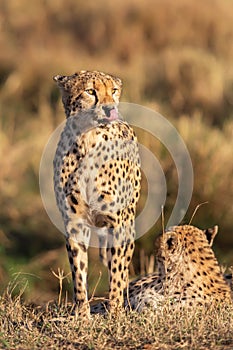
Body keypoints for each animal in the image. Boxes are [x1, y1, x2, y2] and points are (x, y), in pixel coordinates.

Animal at [52, 69, 140, 318]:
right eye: (90, 91)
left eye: (114, 90)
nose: (110, 108)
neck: (88, 138)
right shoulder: (74, 221)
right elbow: (78, 270)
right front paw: (82, 315)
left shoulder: (118, 221)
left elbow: (118, 270)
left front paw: (115, 312)